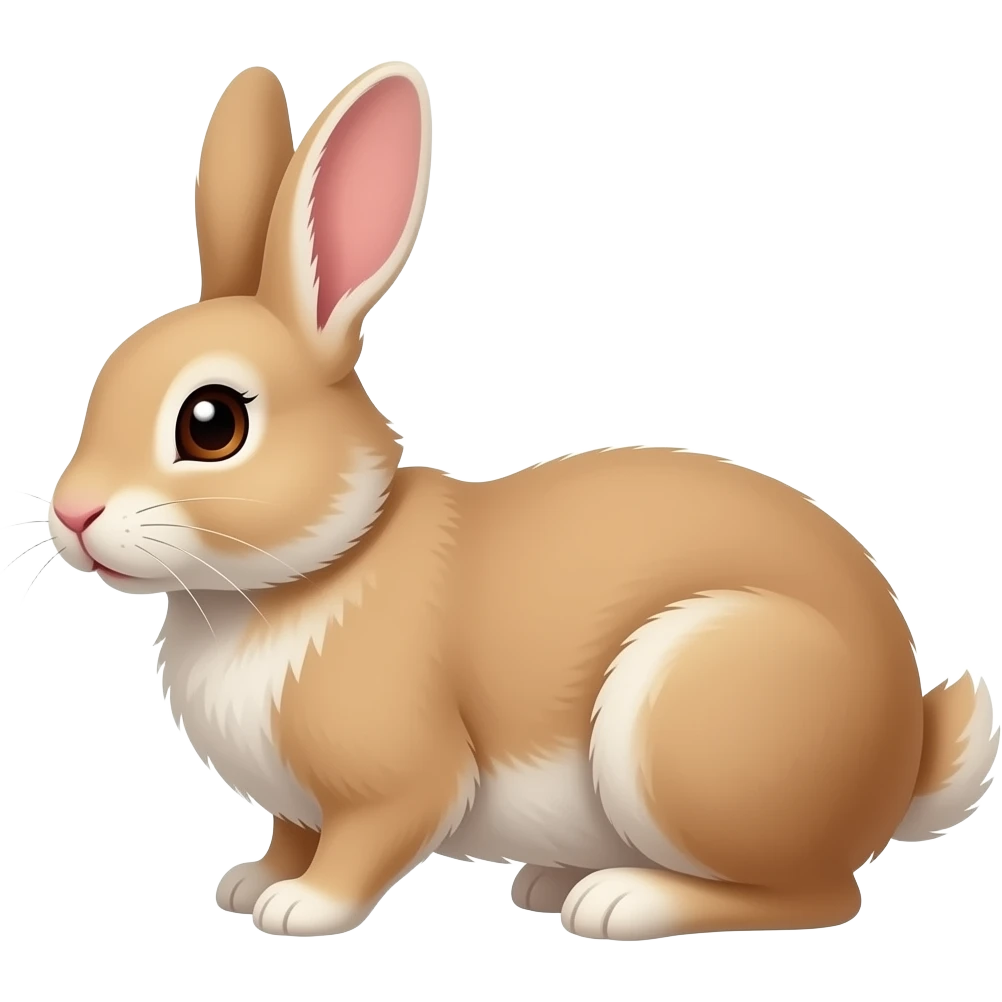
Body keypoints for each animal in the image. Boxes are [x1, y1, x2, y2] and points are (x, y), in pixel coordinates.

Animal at [42, 60, 998, 942]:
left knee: (817, 896)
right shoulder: (294, 804)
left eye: (213, 423)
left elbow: (363, 844)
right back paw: (550, 881)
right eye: (106, 376)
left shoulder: (398, 781)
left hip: (690, 721)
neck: (314, 566)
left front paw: (299, 907)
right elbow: (290, 834)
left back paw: (621, 901)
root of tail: (900, 762)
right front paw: (248, 884)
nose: (74, 515)